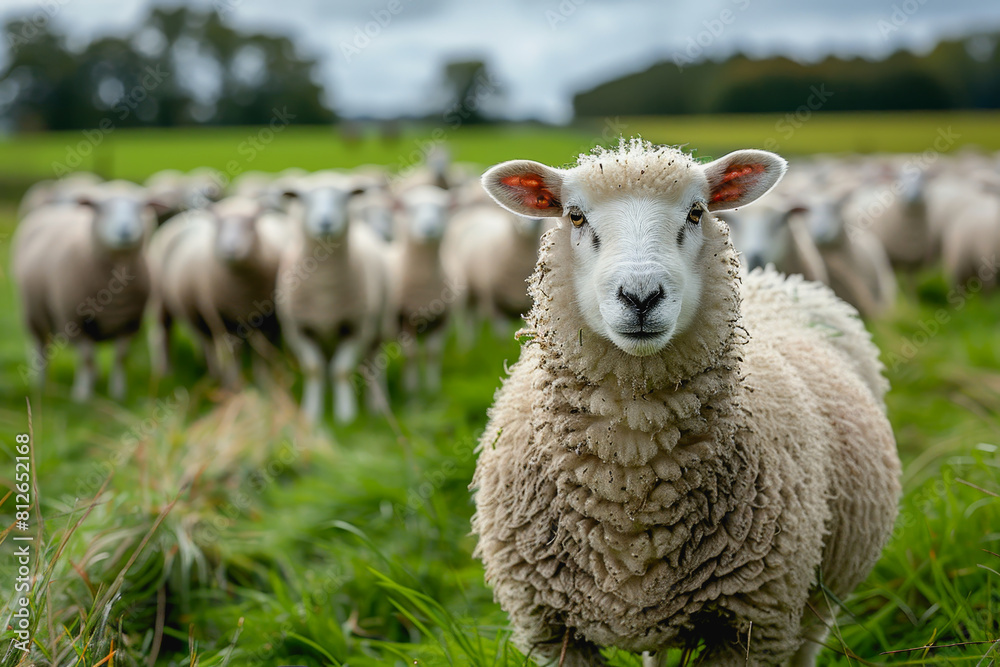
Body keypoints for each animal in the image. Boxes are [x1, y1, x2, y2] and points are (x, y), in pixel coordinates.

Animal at [12, 180, 158, 401]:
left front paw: (118, 393)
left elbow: (120, 358)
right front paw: (82, 396)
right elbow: (87, 358)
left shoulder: (130, 324)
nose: (125, 231)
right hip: (34, 313)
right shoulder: (75, 321)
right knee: (41, 349)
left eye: (140, 208)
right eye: (101, 208)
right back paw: (41, 386)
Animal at [147, 196, 286, 385]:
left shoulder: (271, 320)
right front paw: (236, 384)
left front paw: (265, 382)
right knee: (164, 334)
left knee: (205, 342)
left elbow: (264, 355)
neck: (244, 292)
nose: (231, 248)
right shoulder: (223, 317)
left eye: (251, 223)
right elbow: (234, 355)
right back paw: (167, 374)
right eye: (219, 224)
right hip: (161, 298)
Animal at [277, 172, 394, 424]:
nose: (325, 222)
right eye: (304, 199)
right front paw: (311, 414)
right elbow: (314, 370)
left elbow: (341, 371)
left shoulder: (356, 327)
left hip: (378, 326)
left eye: (345, 198)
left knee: (374, 362)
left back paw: (378, 406)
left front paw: (345, 416)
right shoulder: (298, 330)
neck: (325, 291)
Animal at [388, 184, 454, 394]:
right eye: (410, 209)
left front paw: (433, 388)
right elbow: (411, 356)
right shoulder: (402, 319)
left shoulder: (443, 319)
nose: (429, 228)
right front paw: (411, 389)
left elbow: (433, 354)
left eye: (442, 209)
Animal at [471, 138, 900, 667]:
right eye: (575, 216)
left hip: (818, 597)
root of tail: (776, 277)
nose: (640, 296)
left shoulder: (751, 624)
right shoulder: (551, 628)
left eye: (697, 212)